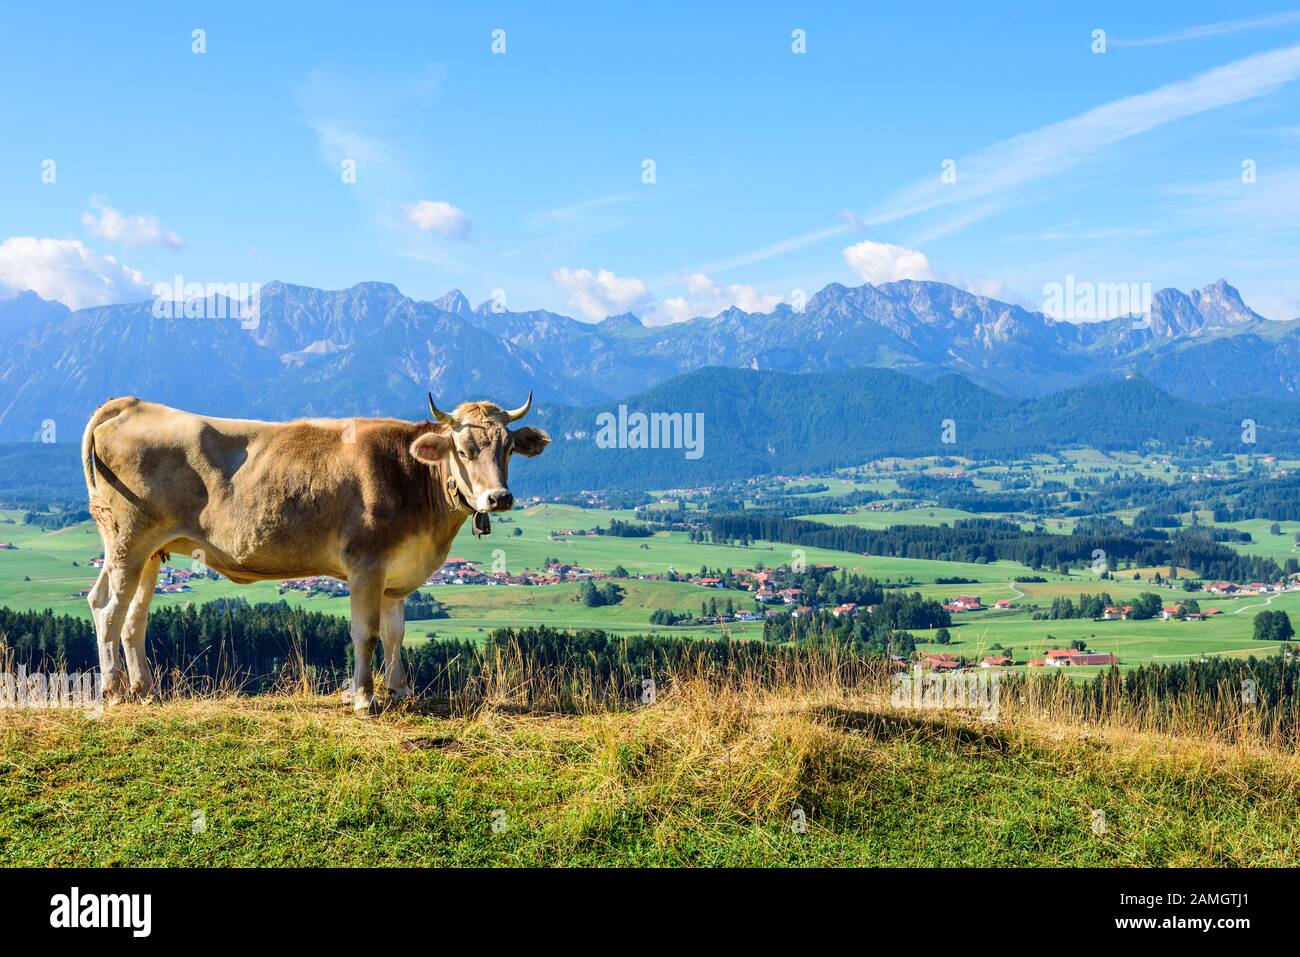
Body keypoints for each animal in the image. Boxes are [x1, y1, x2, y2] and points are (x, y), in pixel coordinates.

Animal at [79, 390, 548, 712]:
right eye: (464, 450)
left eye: (508, 448)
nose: (499, 498)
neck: (414, 477)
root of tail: (131, 403)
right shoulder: (366, 563)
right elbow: (366, 633)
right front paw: (364, 698)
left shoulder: (397, 575)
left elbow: (396, 633)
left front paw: (400, 690)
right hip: (127, 538)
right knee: (108, 609)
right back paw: (113, 692)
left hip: (149, 551)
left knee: (130, 617)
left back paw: (146, 691)